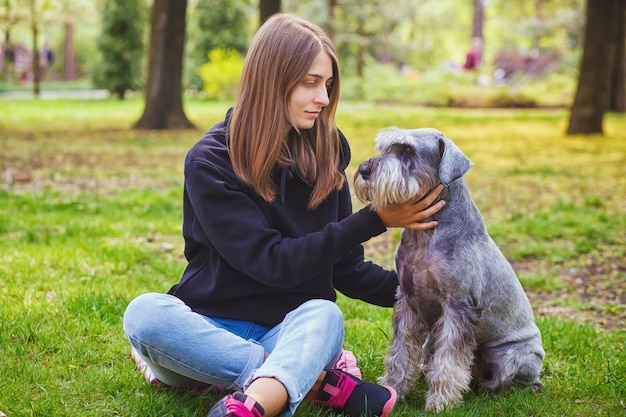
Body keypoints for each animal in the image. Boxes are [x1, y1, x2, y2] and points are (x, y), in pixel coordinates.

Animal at [354, 126, 544, 410]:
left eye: (408, 150)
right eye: (385, 148)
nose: (365, 169)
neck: (428, 235)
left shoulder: (459, 307)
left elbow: (449, 362)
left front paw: (440, 404)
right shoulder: (408, 301)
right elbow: (400, 353)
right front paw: (393, 389)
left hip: (511, 356)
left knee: (508, 380)